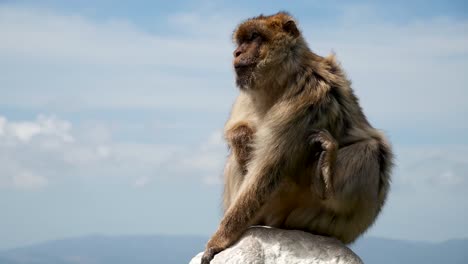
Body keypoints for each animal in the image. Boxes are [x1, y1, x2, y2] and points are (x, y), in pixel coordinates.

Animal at [201, 11, 394, 262]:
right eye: (241, 41)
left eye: (254, 37)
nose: (237, 53)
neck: (284, 77)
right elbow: (239, 130)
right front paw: (242, 137)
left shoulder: (307, 95)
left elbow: (267, 171)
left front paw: (218, 241)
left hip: (331, 221)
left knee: (372, 150)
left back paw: (325, 183)